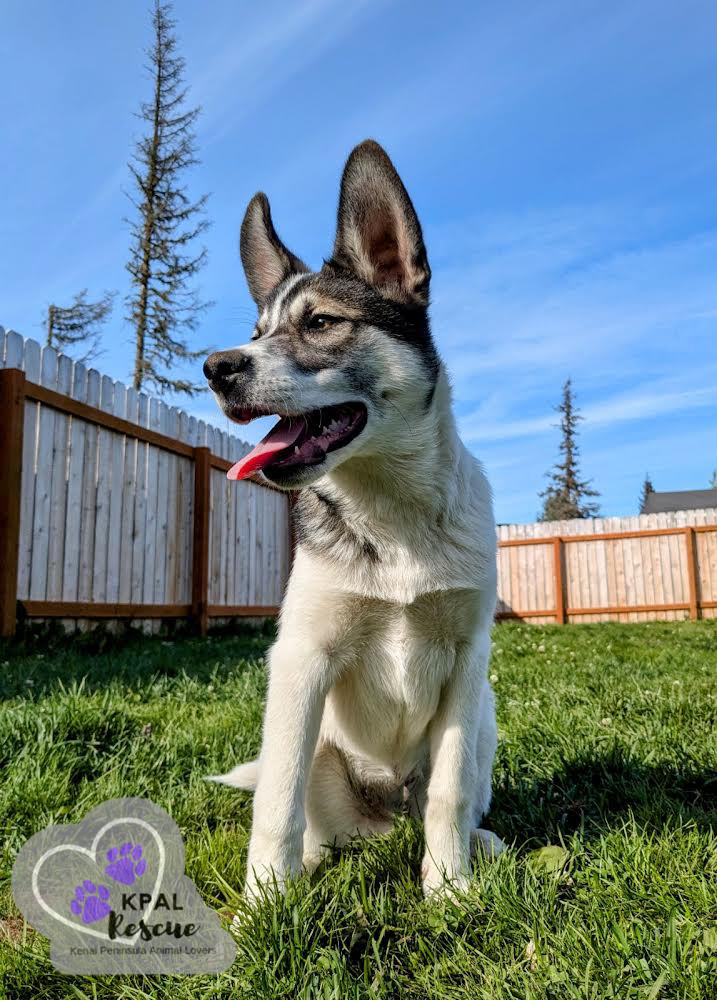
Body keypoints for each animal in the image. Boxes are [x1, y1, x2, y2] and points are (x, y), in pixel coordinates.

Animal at [203, 141, 504, 900]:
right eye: (256, 333)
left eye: (319, 323)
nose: (215, 367)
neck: (391, 514)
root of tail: (383, 815)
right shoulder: (302, 660)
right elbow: (275, 803)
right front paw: (263, 907)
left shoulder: (467, 662)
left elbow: (450, 791)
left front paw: (448, 887)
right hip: (311, 739)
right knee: (305, 812)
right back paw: (306, 865)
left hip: (486, 714)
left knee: (450, 795)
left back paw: (475, 843)